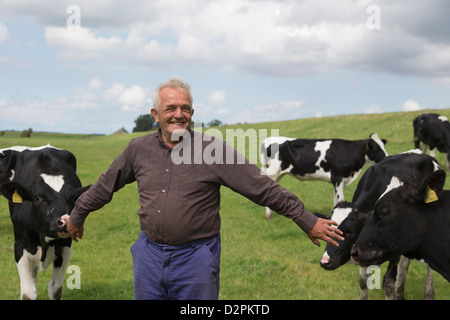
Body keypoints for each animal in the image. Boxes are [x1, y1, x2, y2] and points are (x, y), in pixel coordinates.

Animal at [0, 146, 89, 300]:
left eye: (73, 198)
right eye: (37, 197)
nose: (64, 222)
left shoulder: (66, 246)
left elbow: (55, 289)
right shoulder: (20, 246)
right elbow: (28, 293)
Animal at [320, 151, 440, 298]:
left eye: (350, 232)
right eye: (327, 229)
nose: (325, 261)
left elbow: (388, 283)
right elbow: (363, 280)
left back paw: (428, 293)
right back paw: (400, 291)